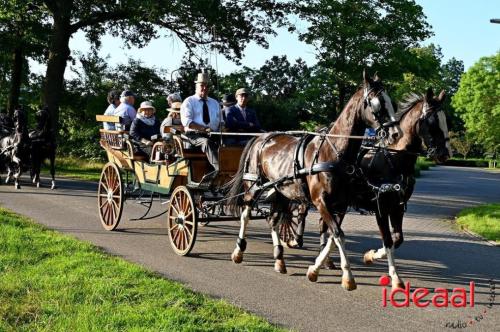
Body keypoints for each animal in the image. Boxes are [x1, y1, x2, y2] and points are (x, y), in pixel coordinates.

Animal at [225, 70, 396, 290]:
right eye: (377, 103)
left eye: (391, 102)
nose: (395, 133)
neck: (333, 152)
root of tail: (261, 137)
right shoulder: (320, 201)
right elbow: (338, 234)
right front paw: (347, 276)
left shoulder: (340, 204)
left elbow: (333, 235)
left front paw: (317, 268)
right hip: (254, 186)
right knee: (246, 214)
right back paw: (239, 250)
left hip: (281, 191)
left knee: (273, 220)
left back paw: (279, 259)